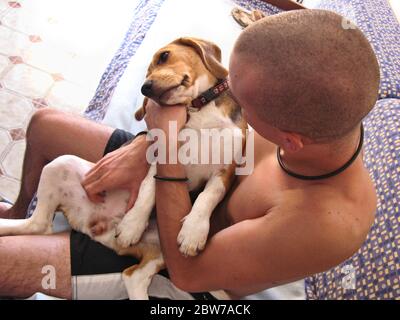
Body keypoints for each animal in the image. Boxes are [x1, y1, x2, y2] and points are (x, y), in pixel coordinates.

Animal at [0, 37, 247, 300]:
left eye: (164, 56)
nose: (145, 89)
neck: (198, 109)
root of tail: (95, 226)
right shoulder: (158, 155)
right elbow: (148, 190)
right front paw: (132, 225)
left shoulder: (226, 170)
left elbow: (208, 196)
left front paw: (193, 232)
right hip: (61, 163)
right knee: (37, 224)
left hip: (162, 253)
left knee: (131, 275)